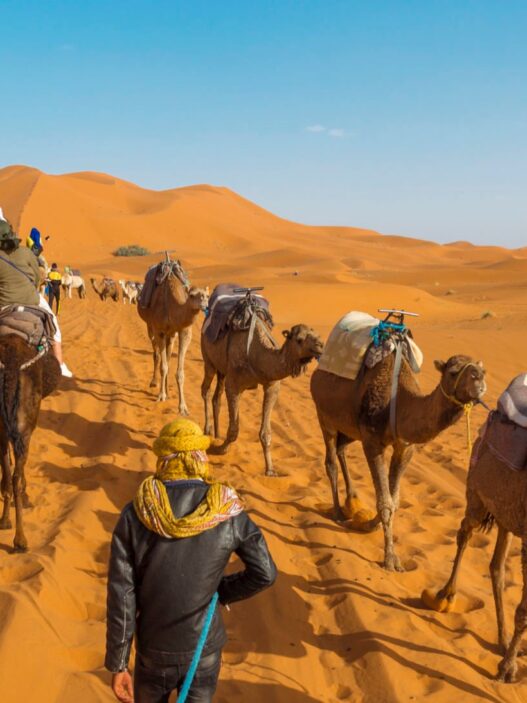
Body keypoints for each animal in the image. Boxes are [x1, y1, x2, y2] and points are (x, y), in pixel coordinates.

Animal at [138, 258, 208, 412]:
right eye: (192, 295)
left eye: (207, 296)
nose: (205, 305)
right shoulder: (159, 330)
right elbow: (163, 366)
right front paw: (161, 396)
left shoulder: (184, 332)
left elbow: (179, 372)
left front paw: (183, 407)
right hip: (150, 327)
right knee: (156, 354)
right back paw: (154, 383)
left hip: (171, 335)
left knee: (168, 357)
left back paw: (168, 391)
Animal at [202, 314, 326, 478]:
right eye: (299, 339)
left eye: (316, 335)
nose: (320, 345)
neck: (257, 355)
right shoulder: (234, 385)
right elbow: (234, 429)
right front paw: (222, 449)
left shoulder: (272, 386)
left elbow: (266, 432)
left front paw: (270, 469)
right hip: (207, 358)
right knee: (206, 390)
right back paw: (207, 430)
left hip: (221, 369)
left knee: (217, 396)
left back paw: (217, 435)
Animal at [312, 352, 488, 572]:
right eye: (453, 372)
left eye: (482, 370)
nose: (479, 378)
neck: (400, 403)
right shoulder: (372, 441)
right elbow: (385, 501)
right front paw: (390, 559)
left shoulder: (405, 447)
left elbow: (394, 500)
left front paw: (369, 525)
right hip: (324, 416)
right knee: (331, 461)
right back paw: (337, 513)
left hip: (349, 429)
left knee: (340, 449)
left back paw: (351, 501)